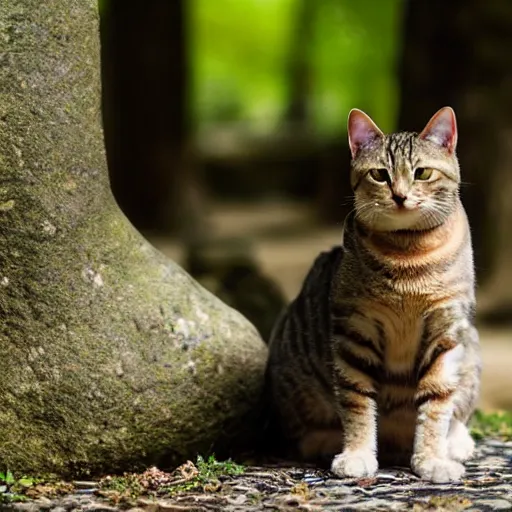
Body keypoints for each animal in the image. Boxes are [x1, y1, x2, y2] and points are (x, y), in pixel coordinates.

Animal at [266, 106, 482, 482]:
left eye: (422, 173)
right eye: (380, 175)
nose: (400, 195)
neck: (409, 256)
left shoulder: (446, 328)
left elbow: (437, 402)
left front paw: (431, 459)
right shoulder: (355, 330)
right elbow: (356, 401)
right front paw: (357, 454)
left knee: (456, 412)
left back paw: (455, 443)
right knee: (307, 432)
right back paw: (327, 441)